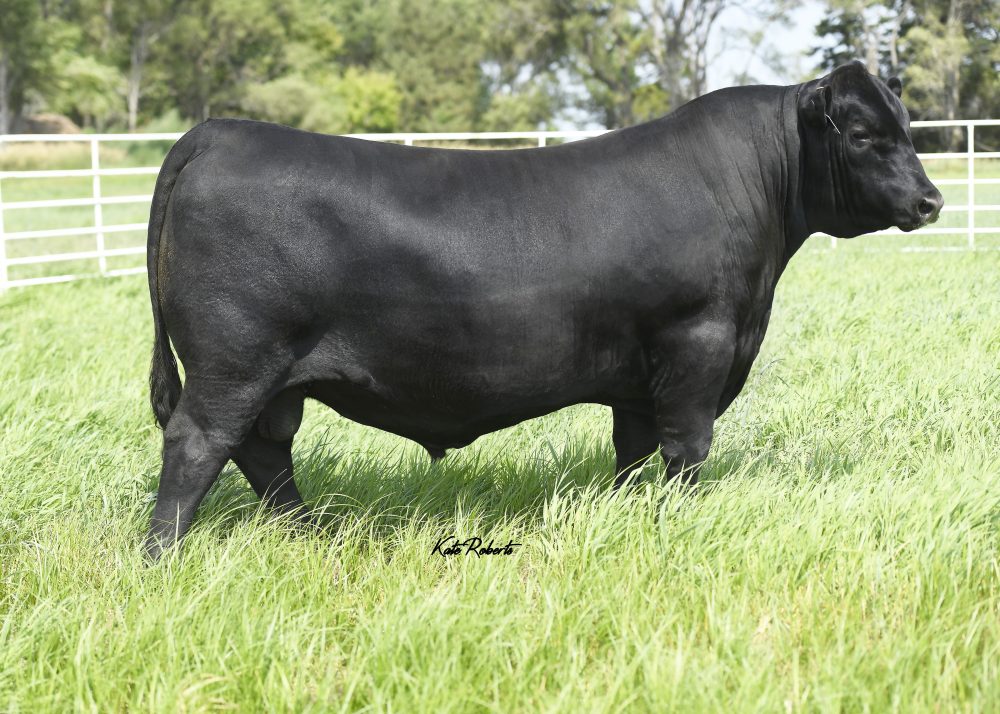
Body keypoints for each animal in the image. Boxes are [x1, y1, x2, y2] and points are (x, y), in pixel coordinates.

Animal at [143, 61, 942, 558]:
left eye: (909, 127)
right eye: (864, 135)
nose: (930, 201)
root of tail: (218, 130)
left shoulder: (640, 371)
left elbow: (633, 448)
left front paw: (623, 513)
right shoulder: (698, 342)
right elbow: (686, 448)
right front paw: (675, 522)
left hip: (274, 376)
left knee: (264, 451)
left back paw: (311, 535)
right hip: (236, 361)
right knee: (199, 444)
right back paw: (160, 559)